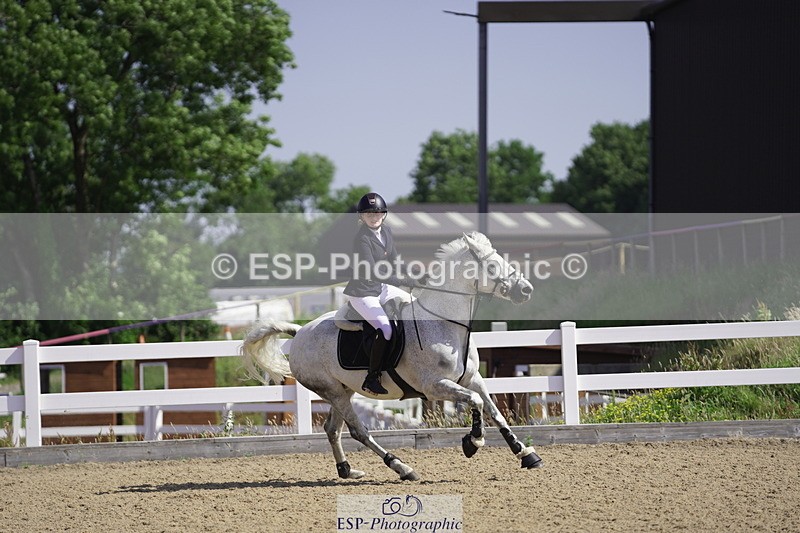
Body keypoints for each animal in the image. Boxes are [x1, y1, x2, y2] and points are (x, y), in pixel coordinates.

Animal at [240, 231, 543, 481]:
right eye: (491, 267)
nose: (526, 290)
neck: (443, 323)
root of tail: (300, 331)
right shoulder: (434, 387)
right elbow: (477, 403)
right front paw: (473, 442)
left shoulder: (473, 379)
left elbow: (495, 411)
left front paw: (525, 453)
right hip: (334, 392)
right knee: (358, 431)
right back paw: (402, 467)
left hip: (342, 391)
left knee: (332, 429)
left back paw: (347, 470)